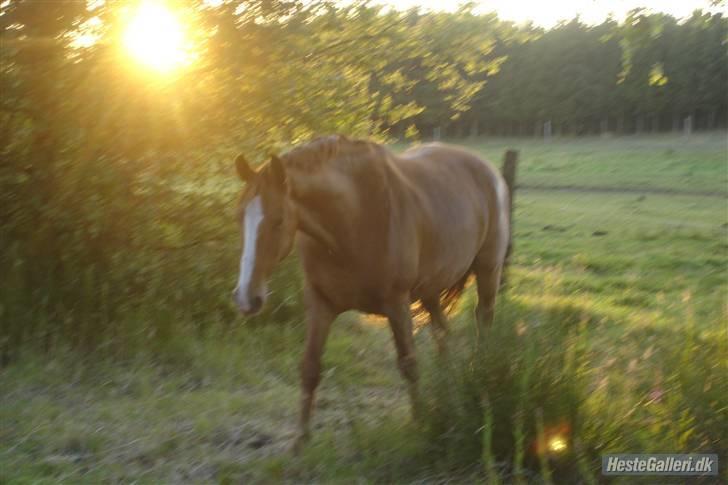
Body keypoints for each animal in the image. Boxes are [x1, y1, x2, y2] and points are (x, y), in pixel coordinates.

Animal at [230, 133, 510, 450]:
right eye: (239, 217)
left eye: (278, 220)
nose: (246, 297)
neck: (353, 219)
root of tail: (488, 170)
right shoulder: (320, 304)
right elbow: (310, 367)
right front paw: (301, 440)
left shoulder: (397, 304)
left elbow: (409, 364)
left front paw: (419, 424)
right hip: (430, 289)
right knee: (442, 332)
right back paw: (446, 384)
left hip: (488, 269)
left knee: (483, 320)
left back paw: (481, 372)